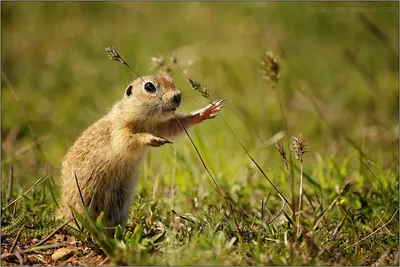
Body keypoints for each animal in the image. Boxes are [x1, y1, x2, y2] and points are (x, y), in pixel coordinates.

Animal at [59, 76, 223, 230]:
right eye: (149, 86)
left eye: (171, 81)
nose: (178, 96)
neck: (143, 119)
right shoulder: (119, 128)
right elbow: (127, 140)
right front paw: (151, 139)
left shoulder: (159, 125)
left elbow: (174, 127)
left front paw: (205, 111)